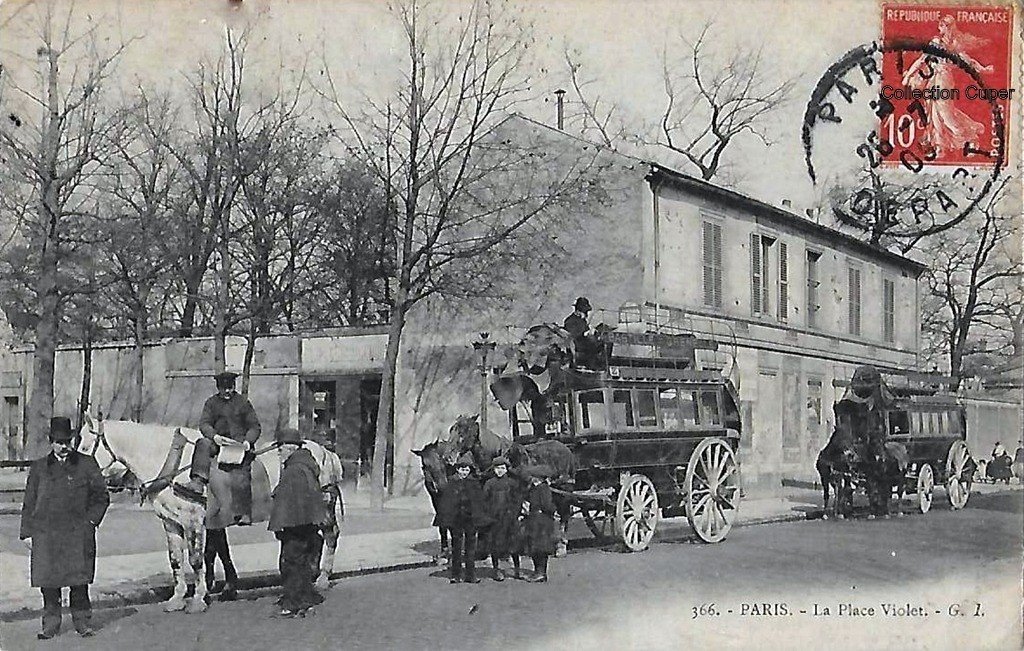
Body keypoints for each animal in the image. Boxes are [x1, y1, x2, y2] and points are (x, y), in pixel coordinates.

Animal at [78, 413, 344, 614]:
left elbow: (196, 560)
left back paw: (322, 578)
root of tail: (326, 452)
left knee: (330, 535)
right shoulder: (170, 523)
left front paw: (197, 599)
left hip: (324, 507)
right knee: (314, 539)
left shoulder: (193, 522)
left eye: (84, 446)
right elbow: (176, 561)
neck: (174, 465)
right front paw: (177, 598)